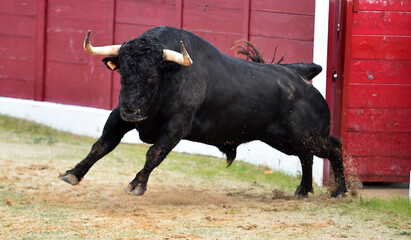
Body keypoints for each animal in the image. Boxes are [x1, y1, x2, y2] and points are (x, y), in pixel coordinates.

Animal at [58, 26, 348, 198]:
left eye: (152, 77)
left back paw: (340, 192)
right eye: (122, 74)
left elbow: (155, 152)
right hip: (285, 139)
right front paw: (73, 173)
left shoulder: (177, 125)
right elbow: (101, 144)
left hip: (308, 135)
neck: (171, 76)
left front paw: (137, 184)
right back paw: (303, 190)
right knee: (306, 156)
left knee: (334, 148)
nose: (132, 110)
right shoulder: (119, 115)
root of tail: (300, 75)